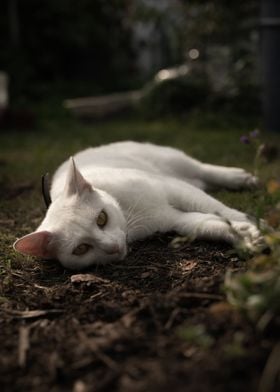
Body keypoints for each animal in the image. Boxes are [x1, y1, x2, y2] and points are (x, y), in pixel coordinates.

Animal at [14, 141, 264, 270]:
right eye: (81, 249)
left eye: (101, 218)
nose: (112, 247)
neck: (129, 215)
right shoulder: (173, 221)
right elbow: (209, 224)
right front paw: (245, 236)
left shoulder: (172, 188)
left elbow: (218, 209)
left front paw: (253, 223)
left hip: (173, 162)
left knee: (204, 169)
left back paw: (241, 178)